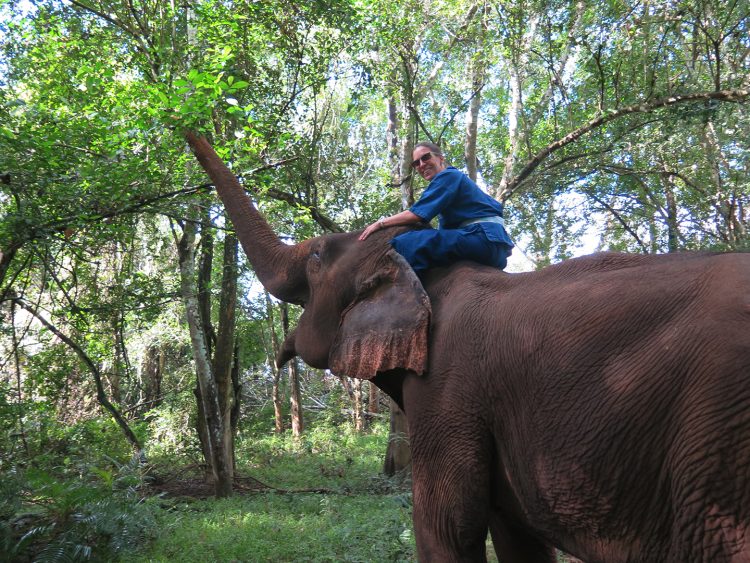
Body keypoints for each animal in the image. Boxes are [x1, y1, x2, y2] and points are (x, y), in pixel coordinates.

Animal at [185, 132, 750, 562]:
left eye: (318, 258)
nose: (184, 119)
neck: (422, 277)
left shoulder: (447, 391)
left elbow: (446, 526)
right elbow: (518, 539)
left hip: (718, 455)